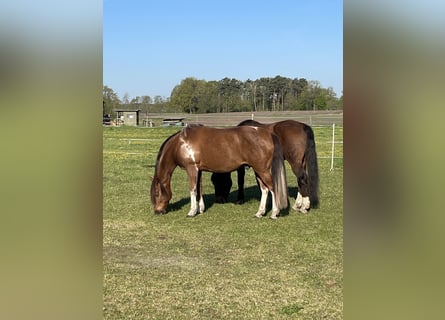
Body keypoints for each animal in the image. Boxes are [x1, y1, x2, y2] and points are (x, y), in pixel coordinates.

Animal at [149, 124, 288, 219]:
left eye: (156, 193)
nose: (157, 211)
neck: (181, 143)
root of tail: (267, 134)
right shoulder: (199, 170)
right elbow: (199, 189)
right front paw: (200, 209)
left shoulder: (191, 168)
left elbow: (193, 190)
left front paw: (192, 212)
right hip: (258, 171)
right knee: (264, 190)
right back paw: (260, 213)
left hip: (262, 170)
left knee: (273, 188)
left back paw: (274, 213)